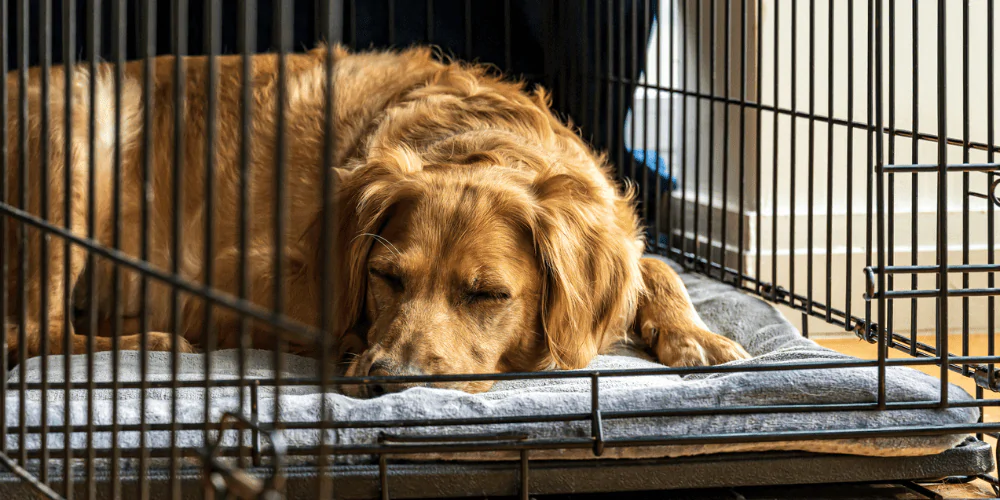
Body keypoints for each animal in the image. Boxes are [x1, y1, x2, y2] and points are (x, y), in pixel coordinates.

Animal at [1, 47, 752, 396]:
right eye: (386, 278)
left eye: (488, 295)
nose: (389, 378)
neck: (476, 141)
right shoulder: (243, 274)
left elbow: (653, 264)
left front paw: (696, 335)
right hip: (80, 129)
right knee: (35, 332)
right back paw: (154, 342)